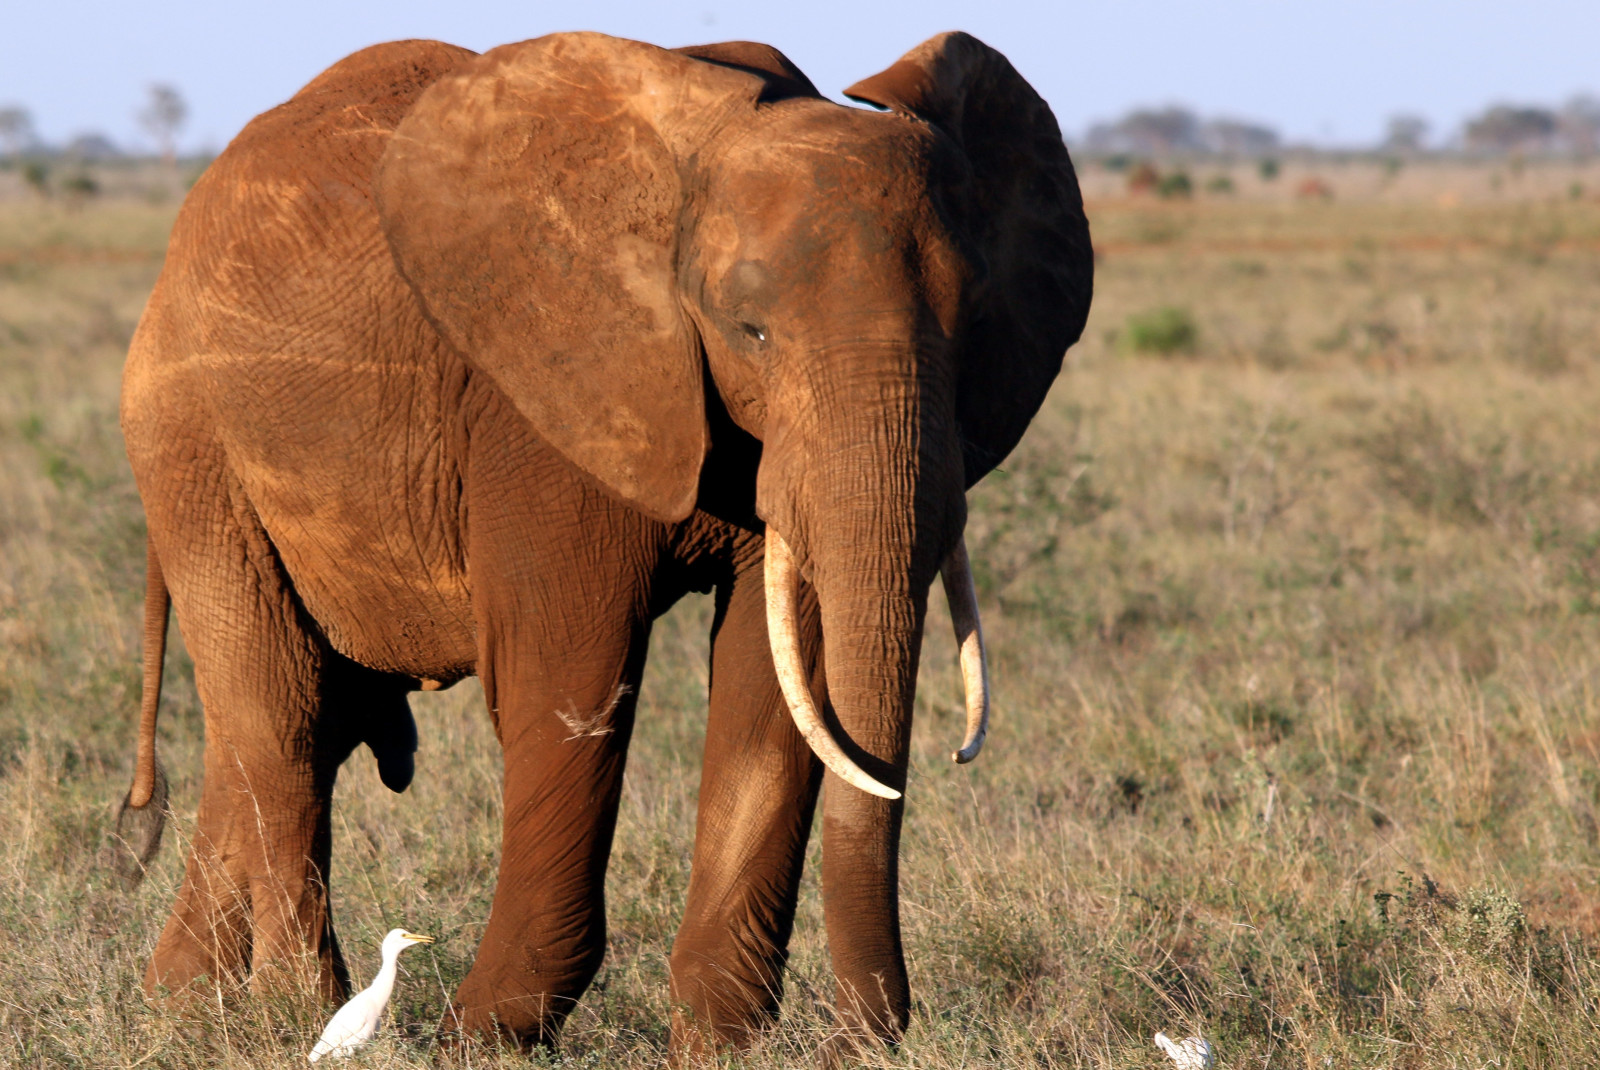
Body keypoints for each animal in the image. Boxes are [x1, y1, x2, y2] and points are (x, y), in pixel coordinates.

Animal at [109, 29, 1088, 1055]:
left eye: (972, 331)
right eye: (752, 330)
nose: (858, 1039)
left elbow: (776, 688)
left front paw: (720, 1046)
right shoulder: (538, 403)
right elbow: (568, 680)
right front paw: (479, 1040)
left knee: (291, 722)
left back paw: (184, 1005)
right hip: (187, 443)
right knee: (282, 718)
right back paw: (298, 1014)